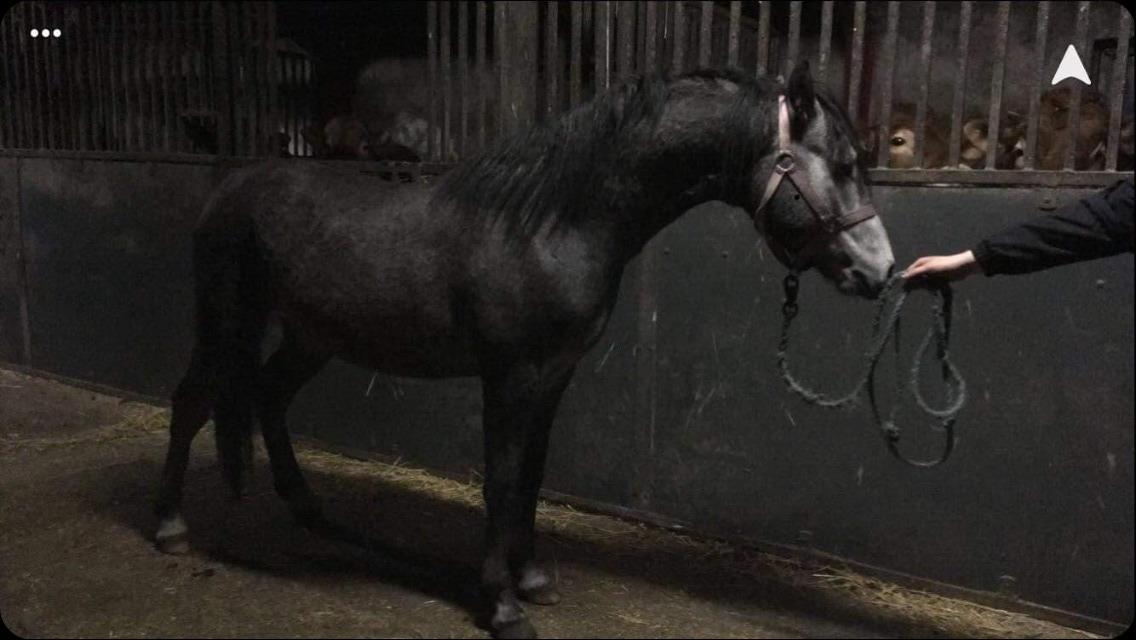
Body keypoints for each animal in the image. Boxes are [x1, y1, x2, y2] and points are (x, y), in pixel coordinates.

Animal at [153, 62, 895, 639]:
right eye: (845, 165)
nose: (881, 271)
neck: (552, 224)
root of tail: (230, 186)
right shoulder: (510, 375)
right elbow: (502, 480)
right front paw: (502, 606)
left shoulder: (554, 374)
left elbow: (533, 477)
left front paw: (532, 577)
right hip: (224, 323)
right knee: (190, 402)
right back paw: (168, 526)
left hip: (312, 338)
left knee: (269, 397)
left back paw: (306, 509)